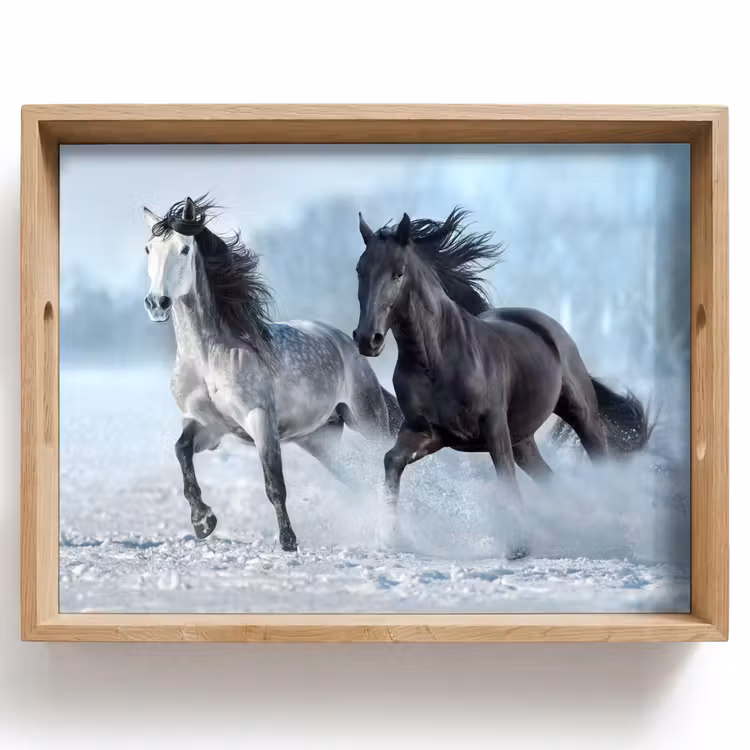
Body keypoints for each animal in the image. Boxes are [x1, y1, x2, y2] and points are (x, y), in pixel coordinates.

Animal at [142, 195, 402, 551]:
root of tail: (344, 342)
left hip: (368, 420)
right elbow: (181, 451)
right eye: (148, 249)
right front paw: (203, 521)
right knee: (358, 479)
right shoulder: (208, 425)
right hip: (320, 440)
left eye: (183, 249)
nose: (157, 303)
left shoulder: (260, 419)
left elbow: (274, 483)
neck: (209, 358)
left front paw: (288, 541)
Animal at [352, 207, 652, 554]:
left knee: (599, 461)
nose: (367, 339)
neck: (435, 359)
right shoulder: (428, 432)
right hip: (523, 439)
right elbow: (392, 460)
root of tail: (545, 325)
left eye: (398, 273)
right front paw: (391, 536)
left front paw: (519, 546)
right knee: (550, 480)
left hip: (580, 414)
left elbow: (505, 479)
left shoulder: (494, 428)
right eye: (360, 270)